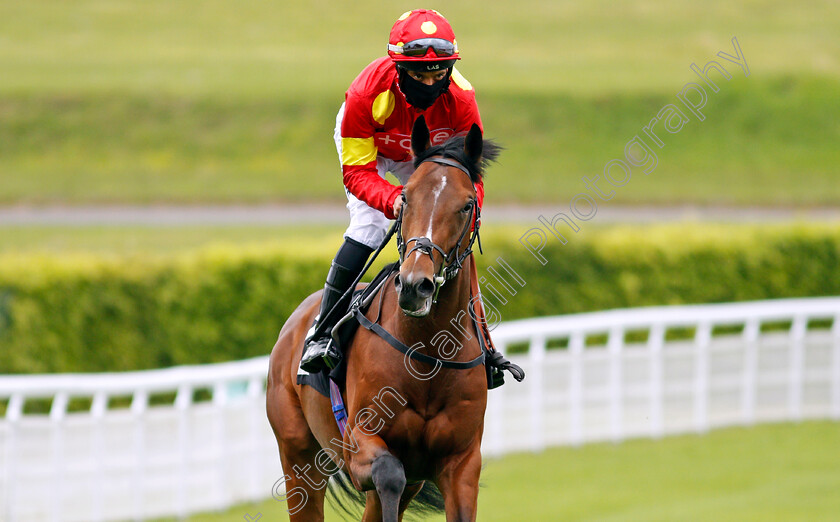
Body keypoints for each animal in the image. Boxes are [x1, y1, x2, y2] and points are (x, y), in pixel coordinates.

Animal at [266, 118, 498, 520]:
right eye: (406, 197)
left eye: (467, 204)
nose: (416, 285)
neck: (428, 349)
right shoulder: (359, 441)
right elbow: (389, 473)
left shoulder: (461, 462)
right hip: (297, 456)